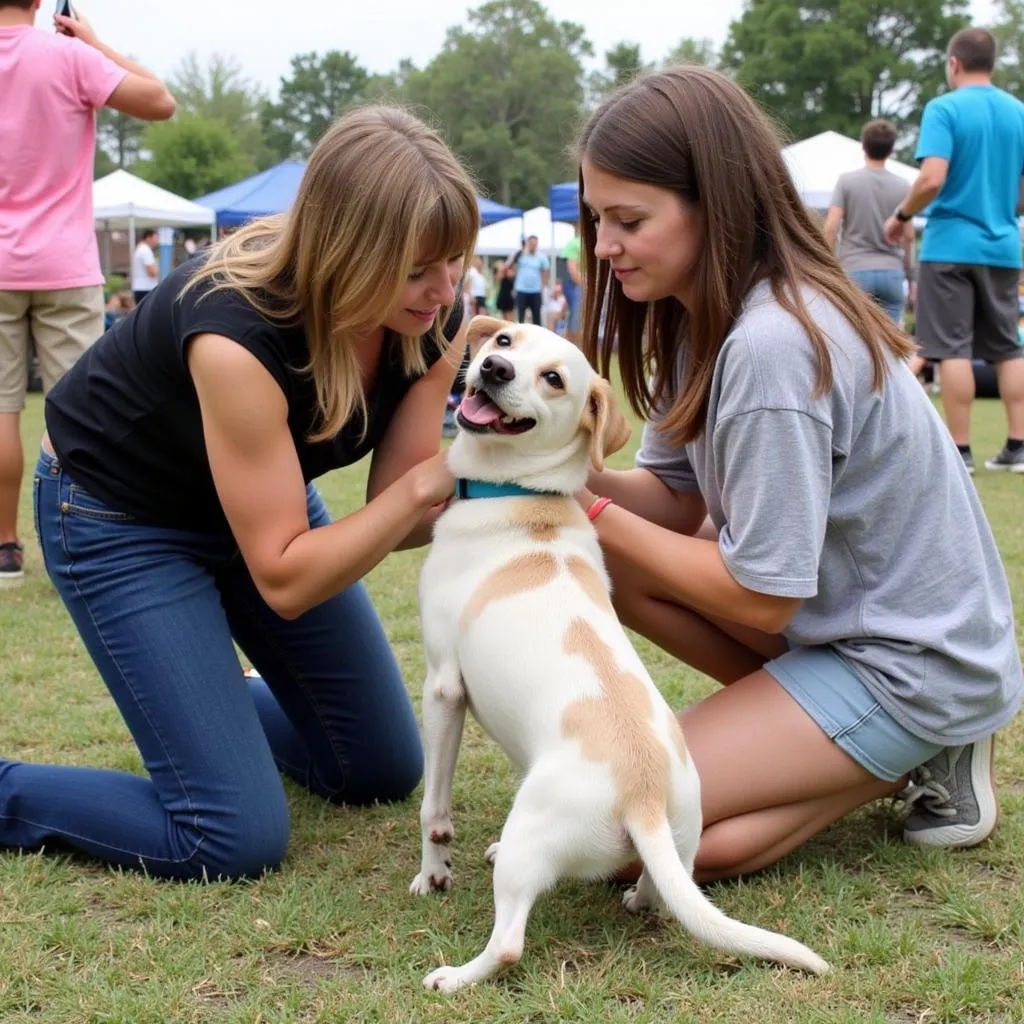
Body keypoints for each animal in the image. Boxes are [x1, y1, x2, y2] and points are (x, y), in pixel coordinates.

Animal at [409, 317, 831, 991]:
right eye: (504, 341)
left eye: (554, 379)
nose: (495, 371)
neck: (523, 498)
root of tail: (643, 794)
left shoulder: (444, 687)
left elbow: (434, 808)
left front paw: (433, 874)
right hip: (684, 840)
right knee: (661, 894)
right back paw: (636, 898)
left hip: (530, 840)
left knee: (510, 943)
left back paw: (456, 976)